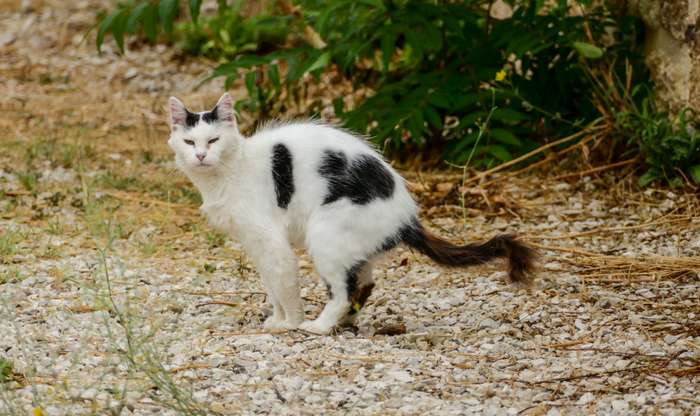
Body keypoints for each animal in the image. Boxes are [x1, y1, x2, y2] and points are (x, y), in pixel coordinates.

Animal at [165, 93, 536, 334]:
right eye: (189, 142)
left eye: (213, 140)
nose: (200, 156)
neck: (227, 173)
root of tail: (408, 217)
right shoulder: (256, 245)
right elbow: (272, 286)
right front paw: (277, 318)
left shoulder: (271, 242)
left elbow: (284, 285)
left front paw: (289, 324)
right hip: (352, 246)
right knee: (364, 283)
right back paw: (345, 323)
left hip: (325, 234)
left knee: (343, 291)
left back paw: (319, 326)